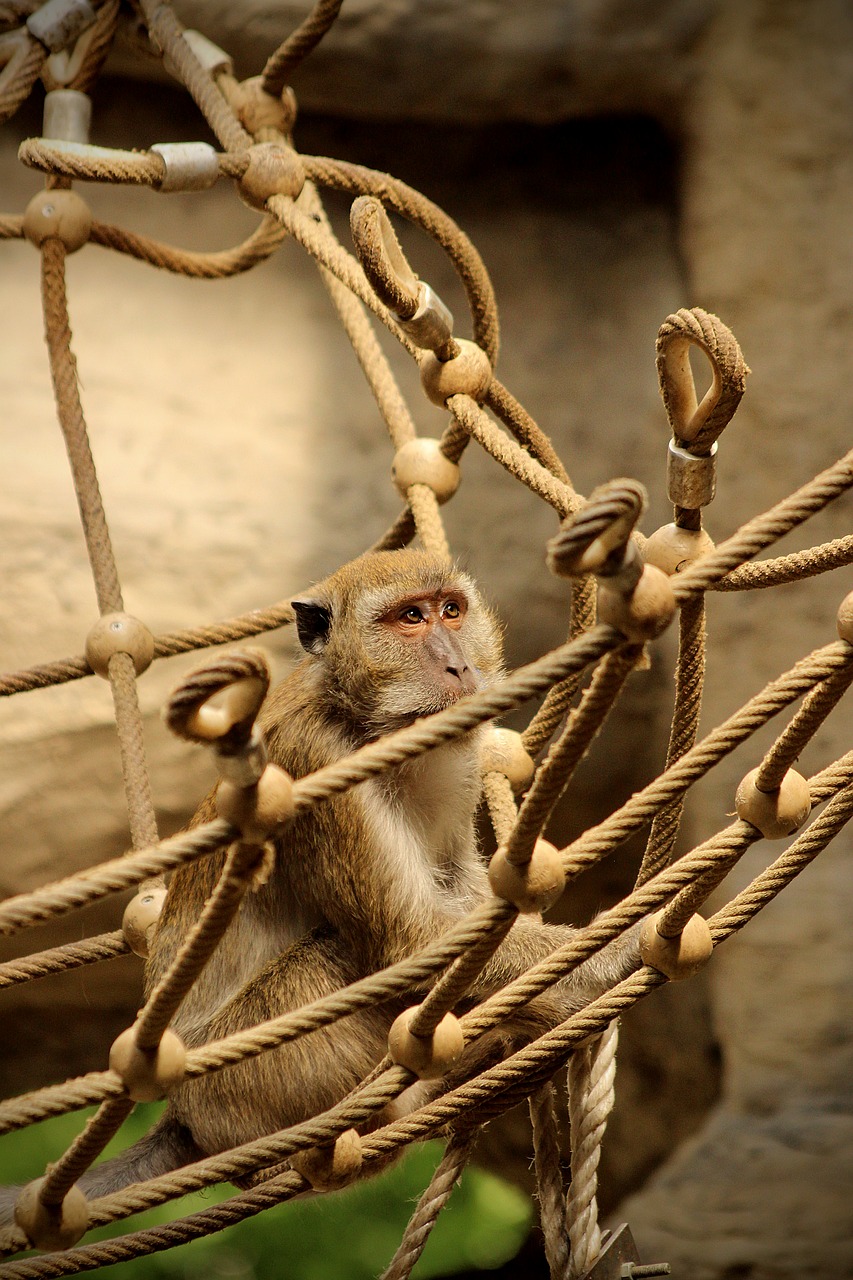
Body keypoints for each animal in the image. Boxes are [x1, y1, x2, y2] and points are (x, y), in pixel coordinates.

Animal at [0, 550, 637, 1218]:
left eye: (450, 610)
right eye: (410, 618)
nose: (458, 664)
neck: (371, 722)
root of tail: (184, 1117)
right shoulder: (319, 762)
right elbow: (413, 940)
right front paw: (612, 953)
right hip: (257, 1078)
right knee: (334, 957)